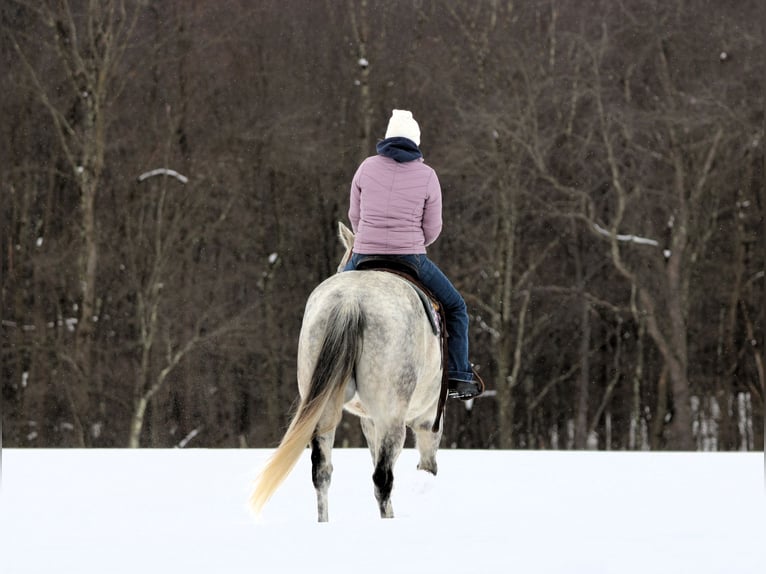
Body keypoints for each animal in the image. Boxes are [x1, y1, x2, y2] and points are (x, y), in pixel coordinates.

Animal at [250, 222, 444, 522]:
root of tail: (351, 300)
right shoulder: (428, 416)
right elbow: (426, 466)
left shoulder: (369, 420)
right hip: (391, 415)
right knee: (383, 478)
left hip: (324, 408)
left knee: (322, 472)